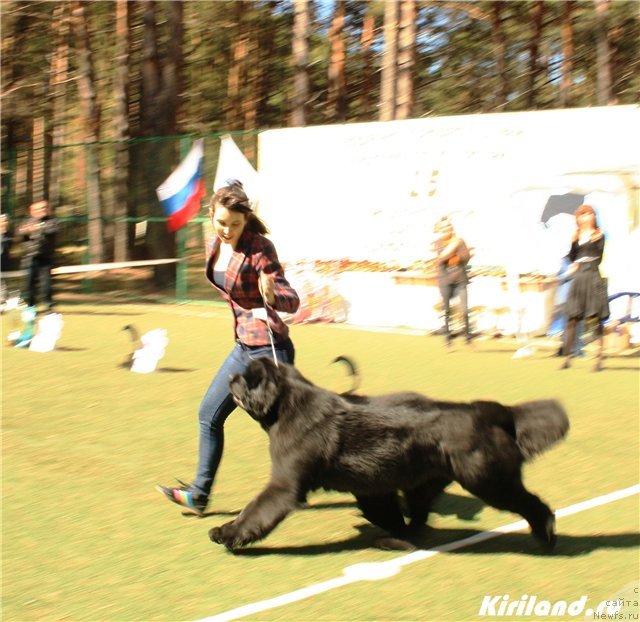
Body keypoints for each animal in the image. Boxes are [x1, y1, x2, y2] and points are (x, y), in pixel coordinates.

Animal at [211, 358, 568, 552]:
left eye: (249, 378)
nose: (230, 377)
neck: (288, 405)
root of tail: (495, 411)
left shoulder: (285, 486)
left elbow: (255, 512)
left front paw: (226, 534)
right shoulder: (371, 488)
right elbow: (383, 510)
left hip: (488, 480)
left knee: (532, 504)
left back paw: (547, 535)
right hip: (425, 483)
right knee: (417, 520)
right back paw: (396, 541)